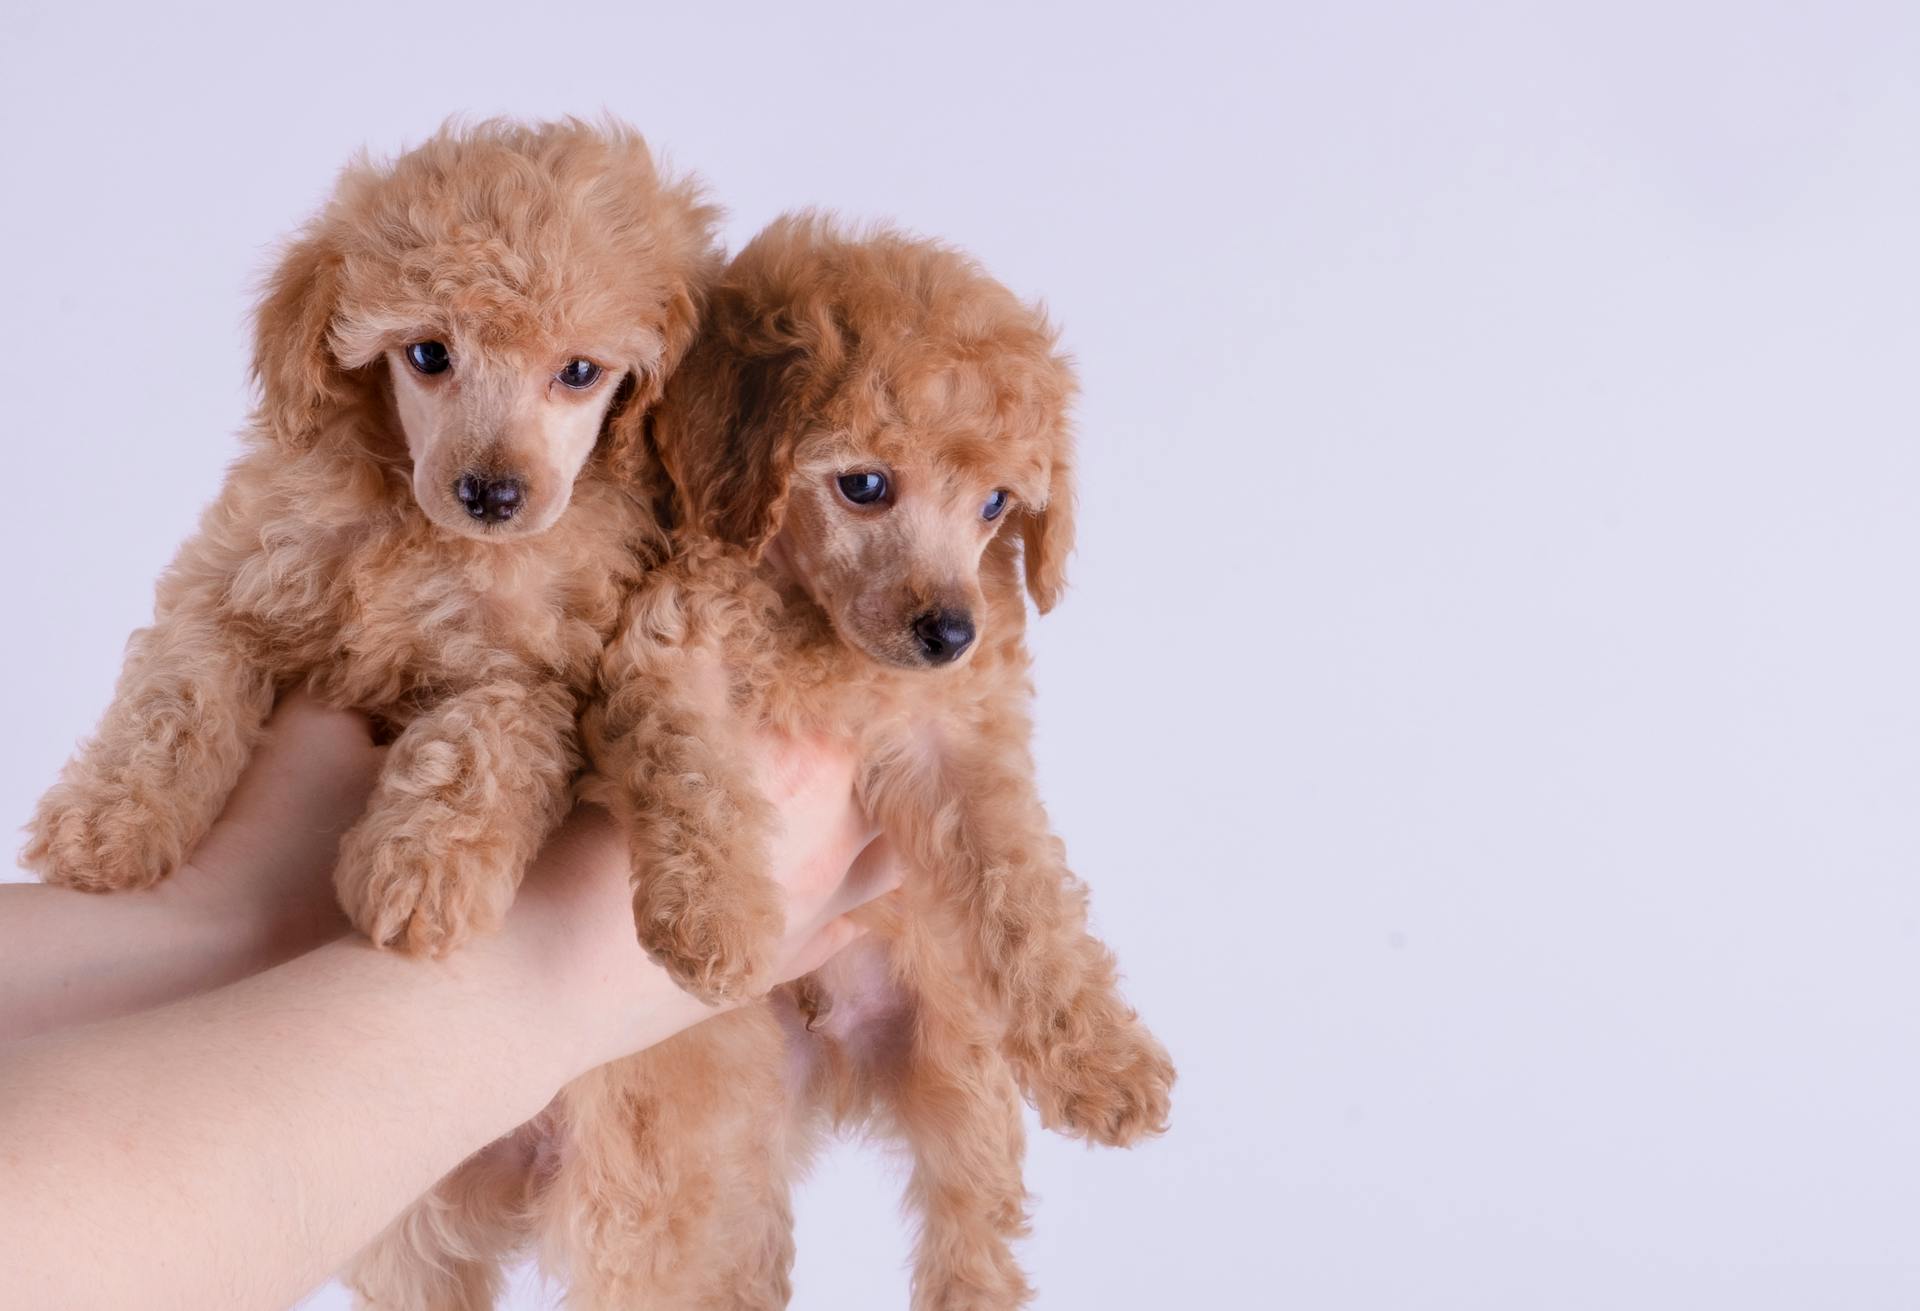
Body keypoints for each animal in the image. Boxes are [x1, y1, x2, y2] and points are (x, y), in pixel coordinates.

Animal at [18, 118, 721, 959]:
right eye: (427, 355)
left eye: (580, 371)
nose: (490, 494)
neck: (422, 530)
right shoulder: (233, 580)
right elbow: (173, 700)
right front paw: (106, 821)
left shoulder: (536, 671)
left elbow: (477, 744)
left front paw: (421, 874)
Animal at [537, 217, 1167, 1311]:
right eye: (864, 486)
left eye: (996, 505)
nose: (951, 631)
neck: (814, 627)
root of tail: (829, 1061)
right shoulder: (663, 652)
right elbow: (691, 771)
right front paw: (718, 921)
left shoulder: (959, 742)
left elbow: (1022, 889)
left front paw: (1105, 1058)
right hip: (714, 1135)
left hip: (957, 1059)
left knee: (973, 1227)